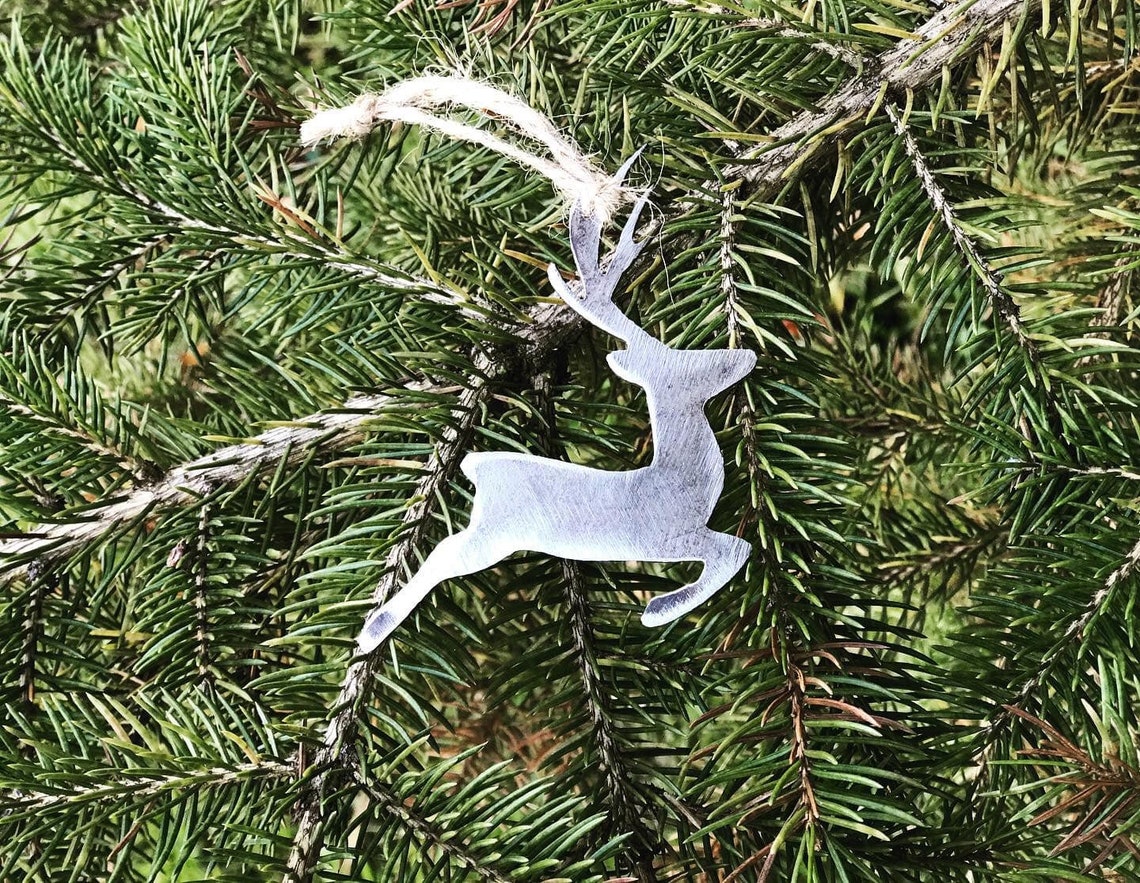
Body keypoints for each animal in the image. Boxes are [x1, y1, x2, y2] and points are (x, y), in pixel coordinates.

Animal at [357, 158, 756, 654]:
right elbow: (734, 550)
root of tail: (476, 465)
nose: (745, 356)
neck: (683, 483)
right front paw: (658, 607)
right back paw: (372, 631)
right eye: (689, 361)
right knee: (444, 555)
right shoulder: (669, 535)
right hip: (497, 534)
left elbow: (732, 550)